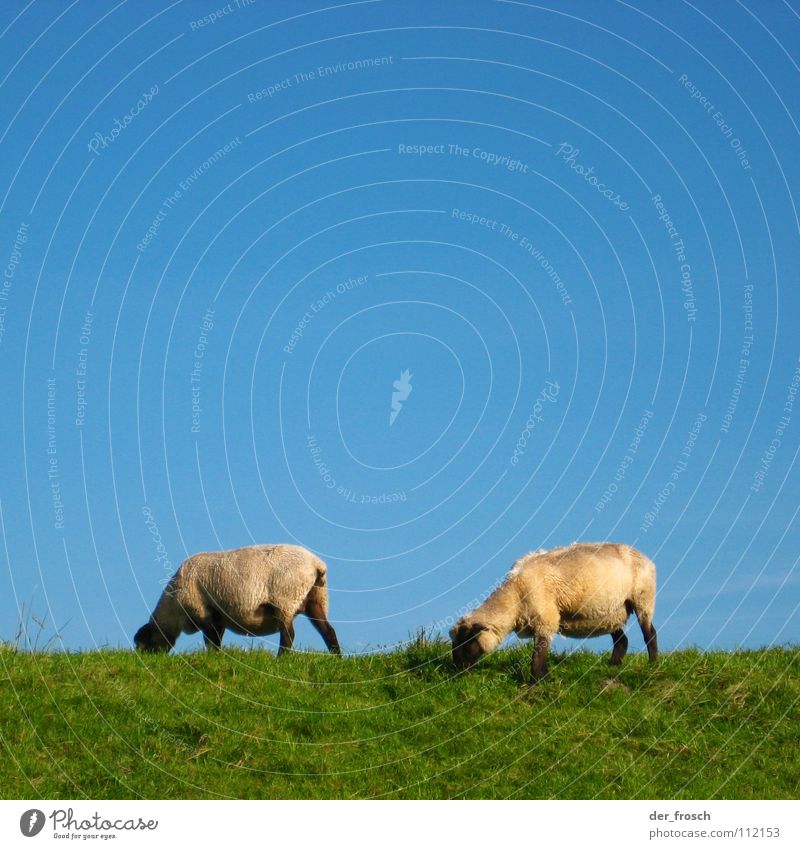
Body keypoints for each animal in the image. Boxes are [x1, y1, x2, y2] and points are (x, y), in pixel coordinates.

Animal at [134, 544, 340, 656]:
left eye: (144, 644)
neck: (173, 610)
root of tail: (316, 564)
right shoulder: (218, 618)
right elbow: (215, 641)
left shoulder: (204, 613)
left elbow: (211, 642)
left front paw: (214, 658)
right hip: (316, 599)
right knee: (328, 631)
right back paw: (337, 658)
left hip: (285, 599)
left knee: (288, 635)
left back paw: (280, 659)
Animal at [450, 544, 656, 684]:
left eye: (468, 642)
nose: (457, 669)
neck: (514, 599)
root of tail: (646, 558)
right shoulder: (539, 622)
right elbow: (541, 652)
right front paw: (546, 677)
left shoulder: (545, 619)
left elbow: (538, 654)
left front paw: (538, 681)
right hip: (609, 612)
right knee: (622, 640)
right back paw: (612, 665)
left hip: (643, 599)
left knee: (649, 634)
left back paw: (653, 664)